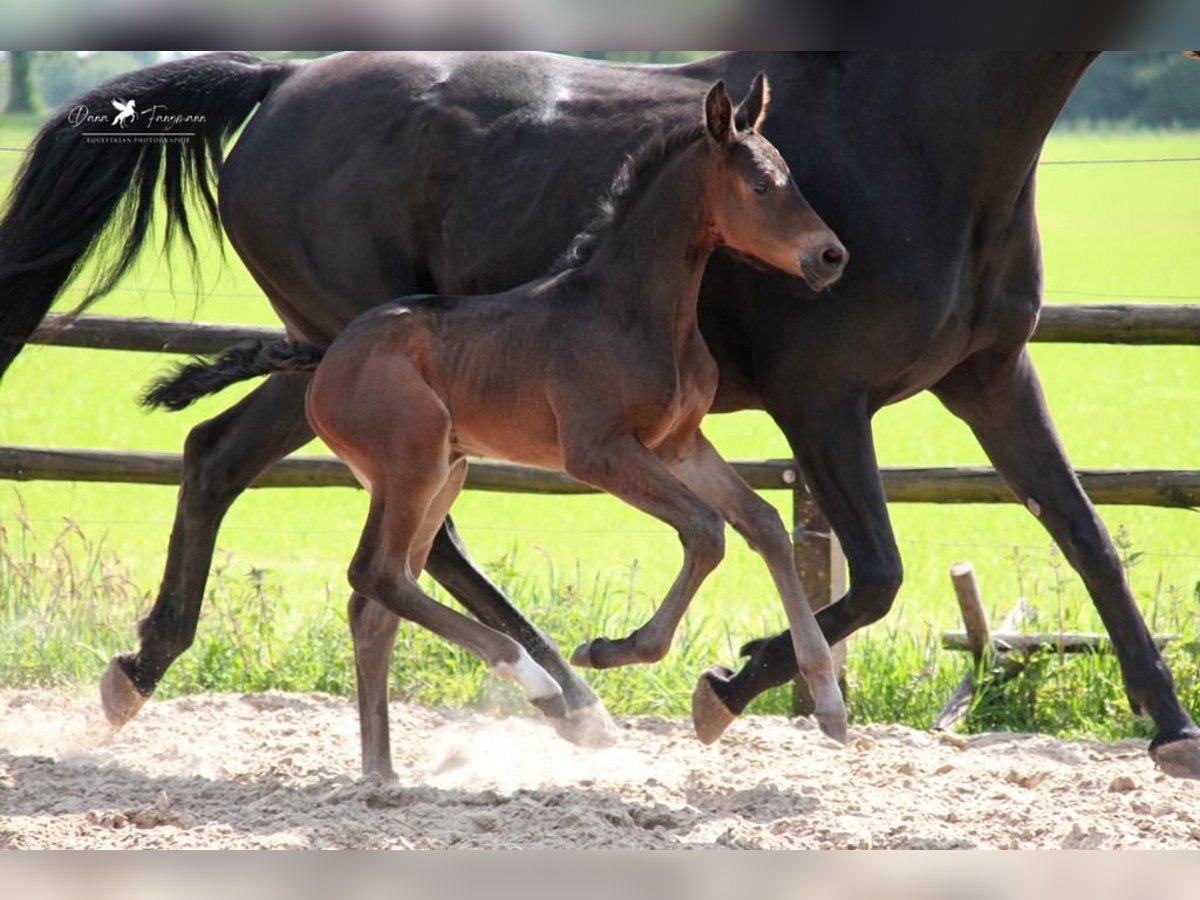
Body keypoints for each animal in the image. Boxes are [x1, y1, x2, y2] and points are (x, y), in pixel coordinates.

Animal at [145, 77, 849, 777]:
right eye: (761, 186)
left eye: (789, 175)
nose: (831, 255)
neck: (630, 309)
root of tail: (328, 353)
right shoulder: (598, 452)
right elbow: (706, 531)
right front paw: (611, 648)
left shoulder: (680, 445)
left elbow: (763, 524)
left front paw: (829, 702)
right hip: (414, 463)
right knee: (375, 574)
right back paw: (541, 686)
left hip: (443, 473)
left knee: (376, 602)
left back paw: (383, 772)